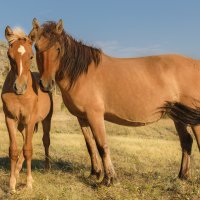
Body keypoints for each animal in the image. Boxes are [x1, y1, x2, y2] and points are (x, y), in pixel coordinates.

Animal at [1, 26, 53, 192]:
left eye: (31, 57)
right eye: (9, 55)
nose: (19, 87)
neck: (20, 97)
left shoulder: (30, 120)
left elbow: (28, 150)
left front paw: (29, 182)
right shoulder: (10, 119)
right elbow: (14, 150)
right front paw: (12, 184)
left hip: (45, 120)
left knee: (45, 141)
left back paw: (47, 167)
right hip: (21, 125)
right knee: (25, 142)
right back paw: (17, 171)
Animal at [28, 18, 200, 186]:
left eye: (58, 48)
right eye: (36, 47)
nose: (45, 84)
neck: (82, 73)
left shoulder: (95, 115)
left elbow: (102, 145)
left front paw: (110, 179)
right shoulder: (82, 117)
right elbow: (90, 145)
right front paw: (95, 173)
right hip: (178, 116)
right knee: (186, 142)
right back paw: (182, 176)